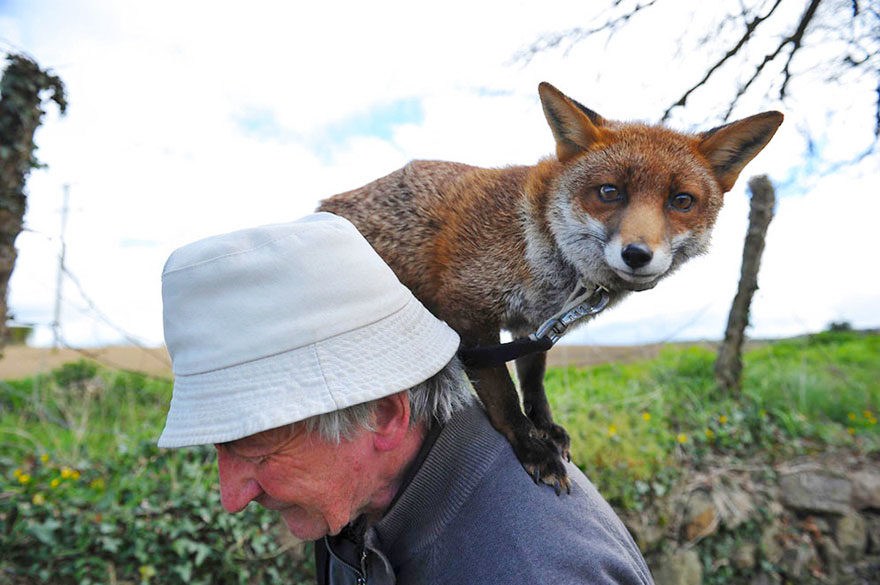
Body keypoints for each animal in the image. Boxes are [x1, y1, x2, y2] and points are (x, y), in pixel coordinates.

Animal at [318, 82, 784, 490]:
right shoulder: (468, 309)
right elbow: (503, 394)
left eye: (681, 201)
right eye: (609, 192)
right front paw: (531, 446)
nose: (637, 254)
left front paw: (545, 428)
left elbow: (534, 383)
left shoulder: (534, 325)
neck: (539, 242)